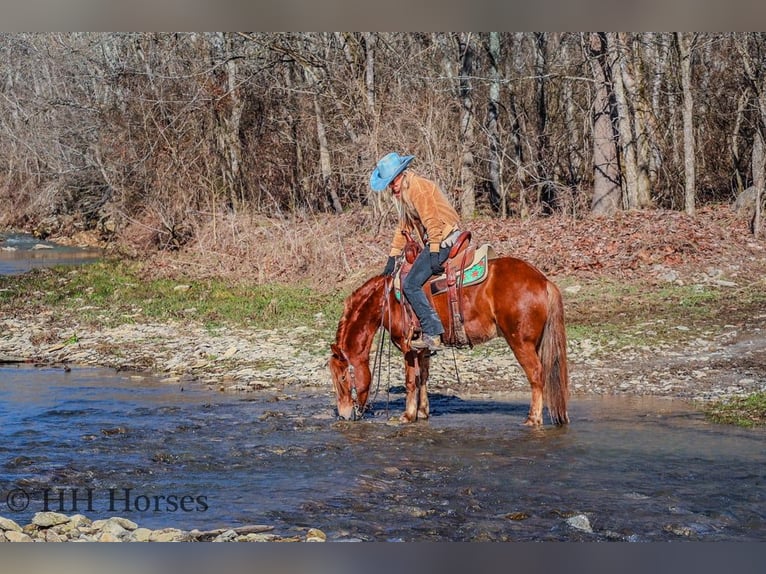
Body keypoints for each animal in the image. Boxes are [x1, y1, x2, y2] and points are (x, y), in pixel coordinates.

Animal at [328, 250, 570, 427]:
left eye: (343, 378)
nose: (345, 415)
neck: (387, 301)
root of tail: (543, 281)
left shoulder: (408, 348)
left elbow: (410, 381)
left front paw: (407, 416)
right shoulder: (423, 348)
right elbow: (423, 378)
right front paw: (422, 412)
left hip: (520, 342)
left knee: (536, 375)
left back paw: (533, 419)